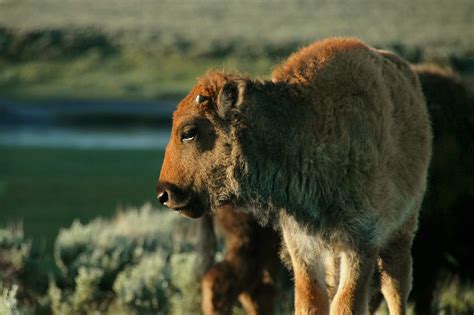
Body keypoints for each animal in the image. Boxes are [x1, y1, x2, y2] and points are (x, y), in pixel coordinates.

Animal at [157, 38, 432, 314]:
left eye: (189, 132)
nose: (164, 193)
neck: (304, 125)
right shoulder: (302, 245)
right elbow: (310, 301)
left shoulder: (362, 242)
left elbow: (346, 303)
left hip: (401, 231)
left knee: (395, 287)